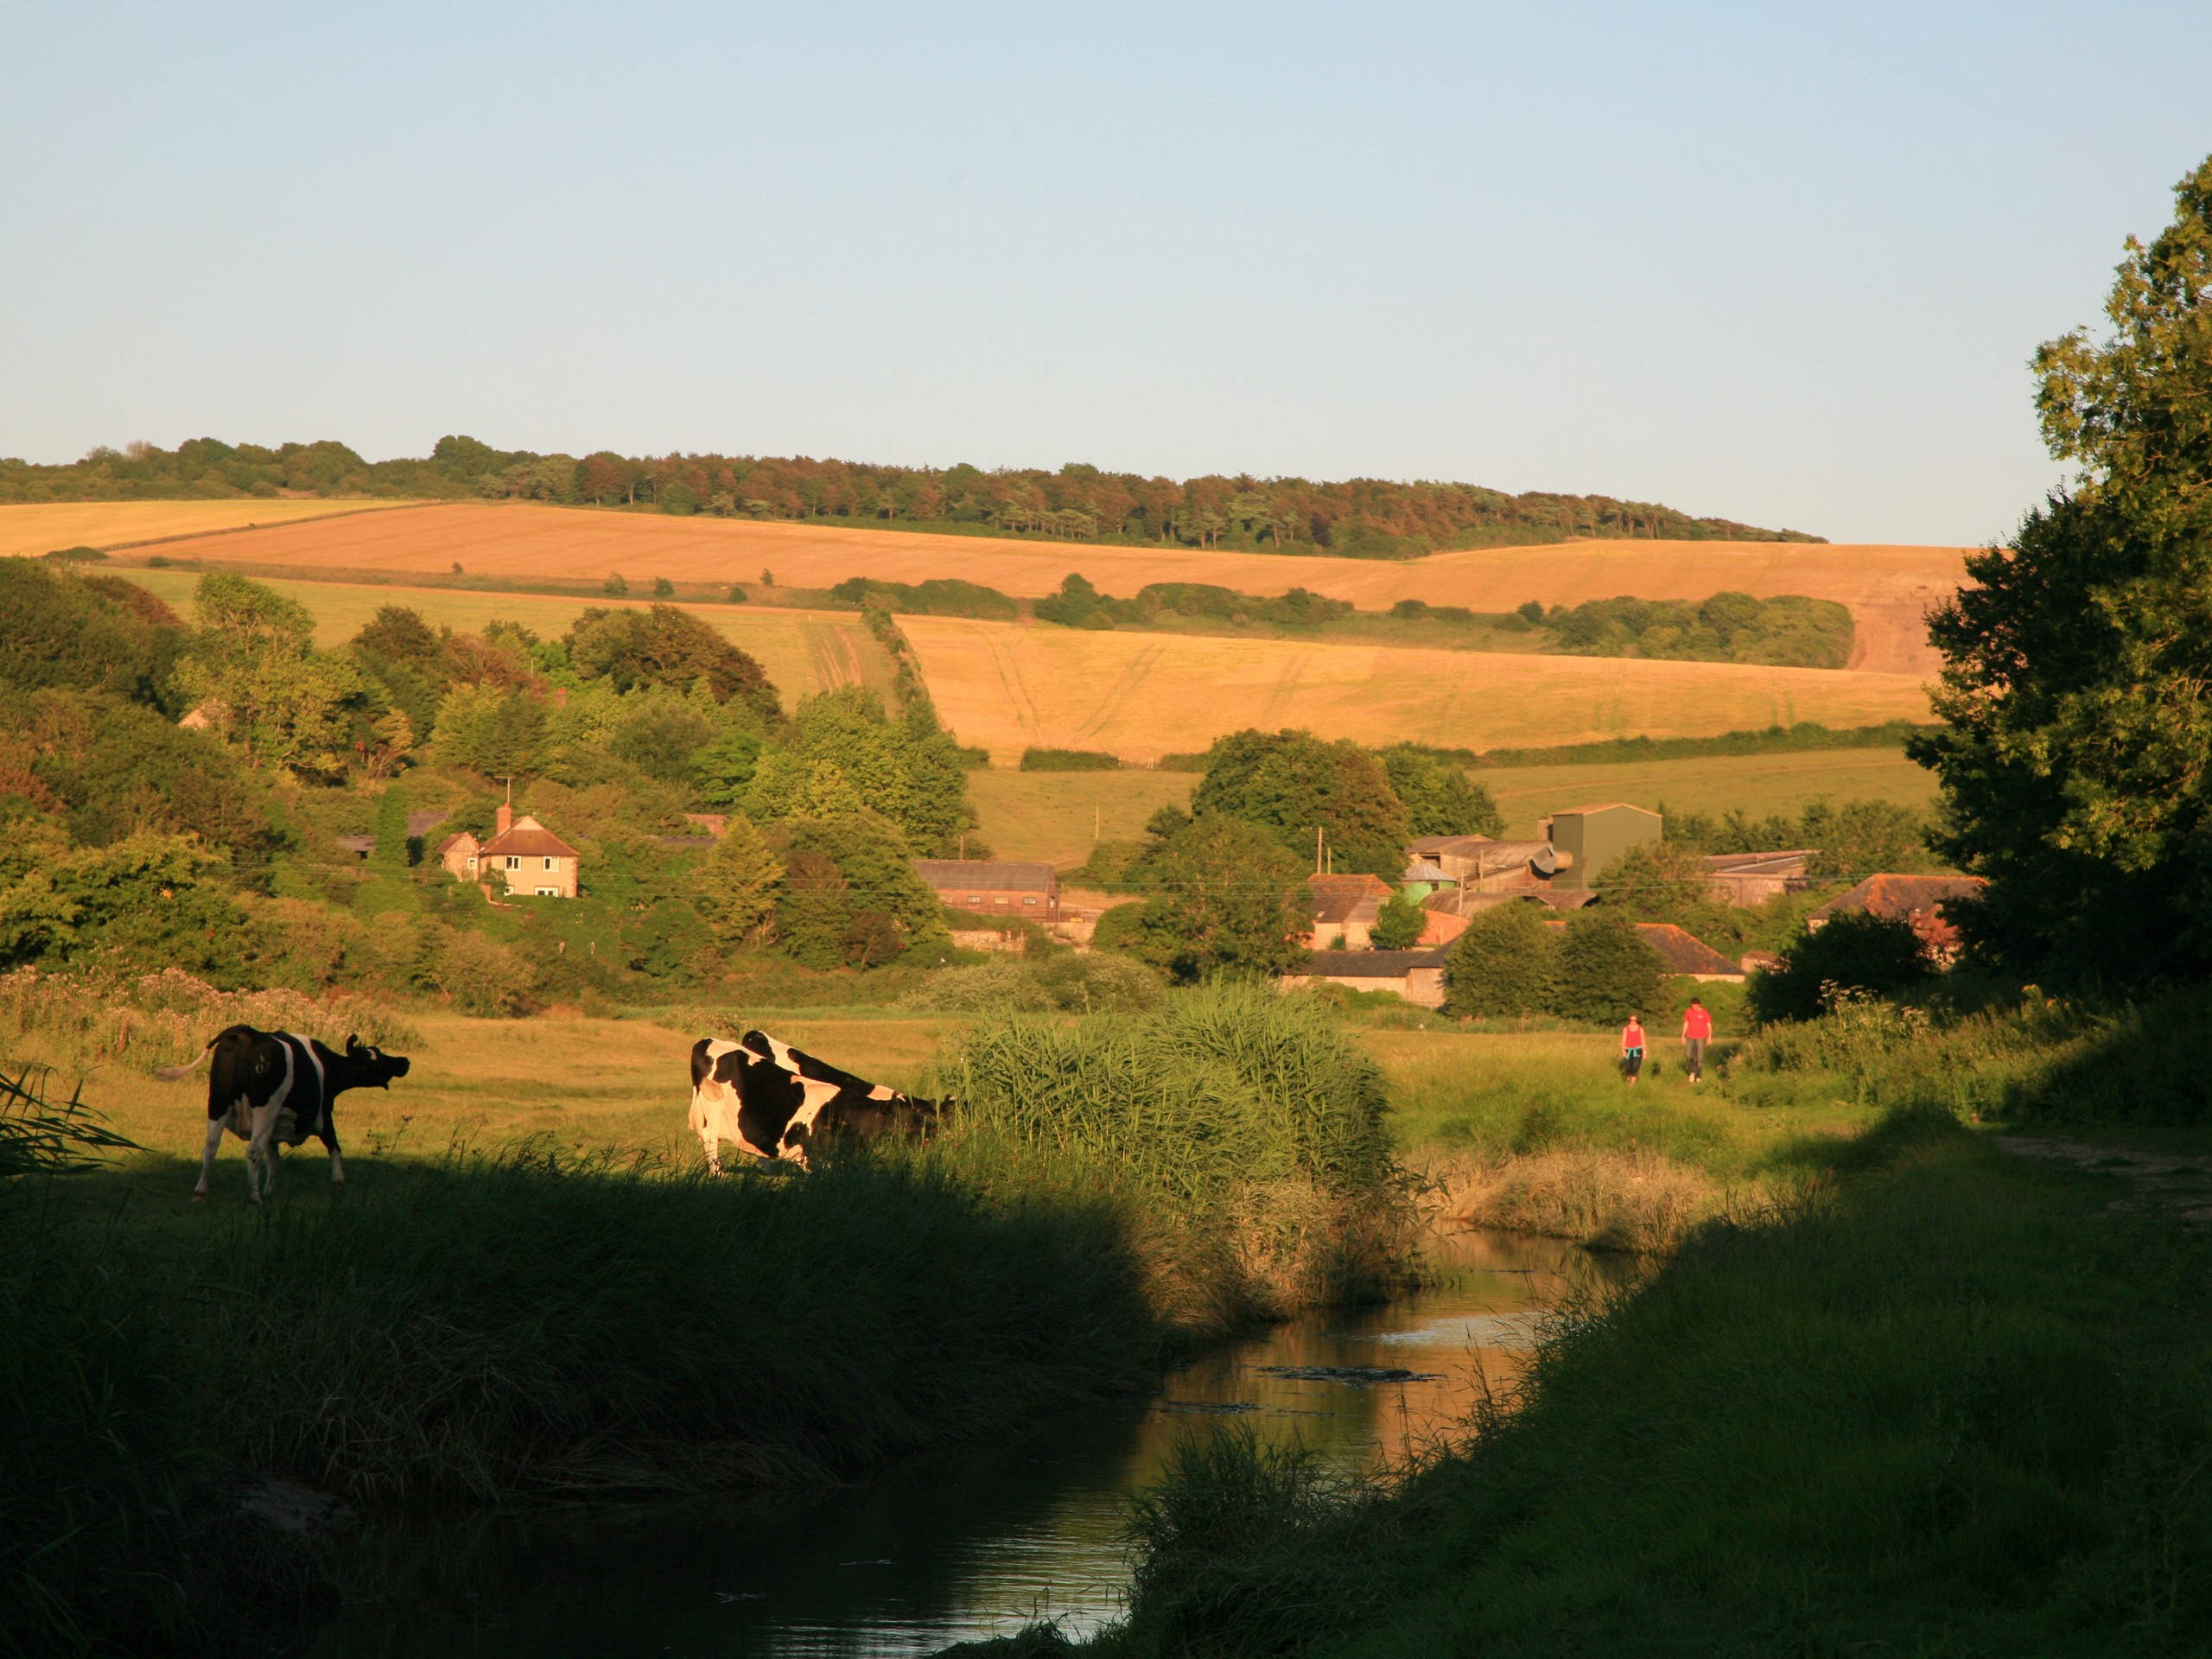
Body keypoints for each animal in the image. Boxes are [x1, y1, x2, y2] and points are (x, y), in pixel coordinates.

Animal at [158, 1026, 416, 1211]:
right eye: (375, 1057)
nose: (404, 1061)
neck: (326, 1068)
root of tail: (246, 1032)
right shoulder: (324, 1116)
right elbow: (334, 1148)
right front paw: (338, 1183)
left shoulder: (274, 1129)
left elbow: (274, 1160)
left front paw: (270, 1190)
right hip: (264, 1108)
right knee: (253, 1149)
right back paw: (254, 1198)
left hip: (218, 1103)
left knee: (211, 1147)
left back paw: (200, 1193)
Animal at [681, 1035, 942, 1176]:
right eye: (912, 1119)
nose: (937, 1135)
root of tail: (708, 1040)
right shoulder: (814, 1160)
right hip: (712, 1109)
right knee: (710, 1140)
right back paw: (719, 1174)